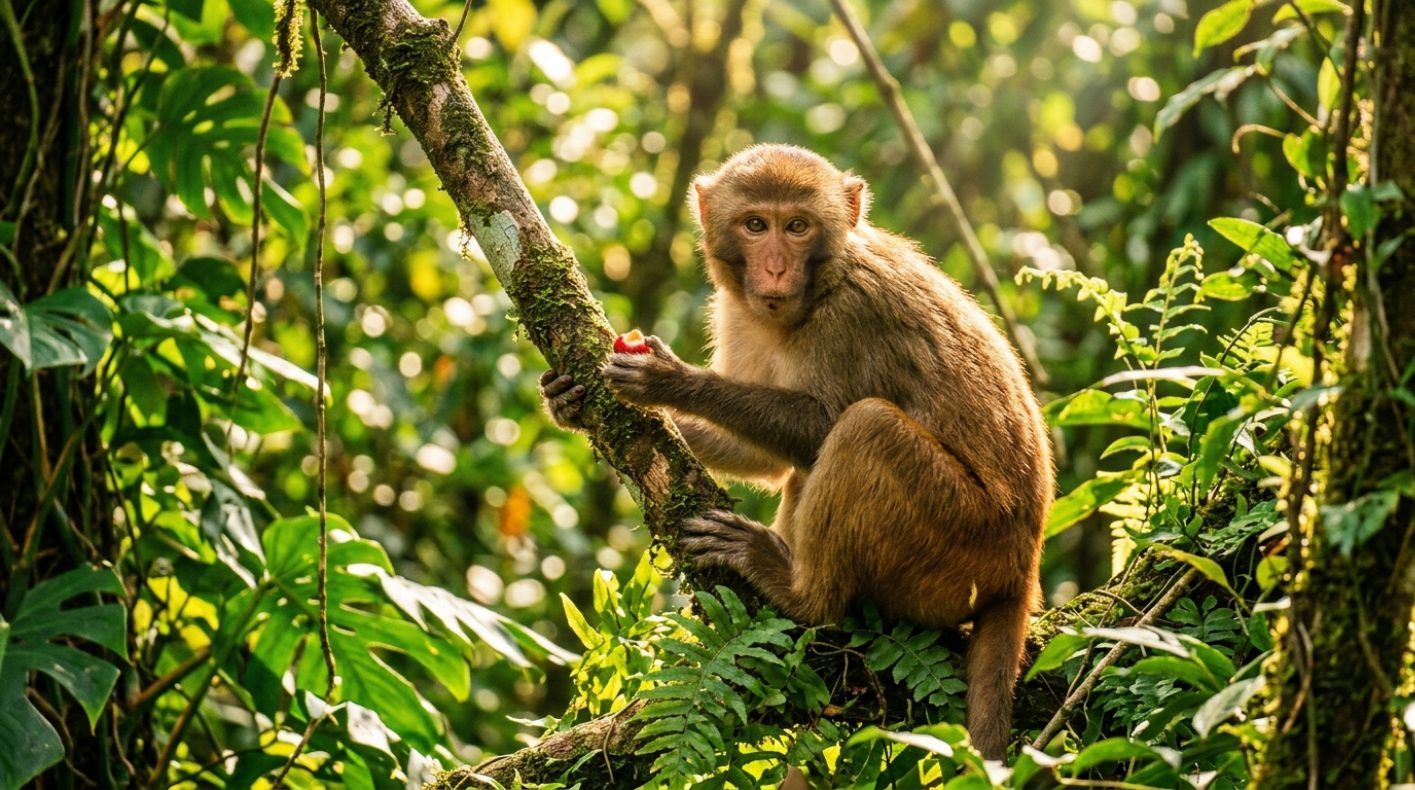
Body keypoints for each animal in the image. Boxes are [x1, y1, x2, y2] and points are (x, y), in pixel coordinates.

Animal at [540, 143, 1051, 761]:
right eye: (757, 225)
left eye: (799, 227)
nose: (777, 269)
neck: (821, 285)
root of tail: (1022, 567)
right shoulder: (734, 309)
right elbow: (768, 460)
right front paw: (566, 403)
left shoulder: (856, 313)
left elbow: (820, 428)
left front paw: (672, 380)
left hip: (965, 539)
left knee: (864, 428)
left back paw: (800, 593)